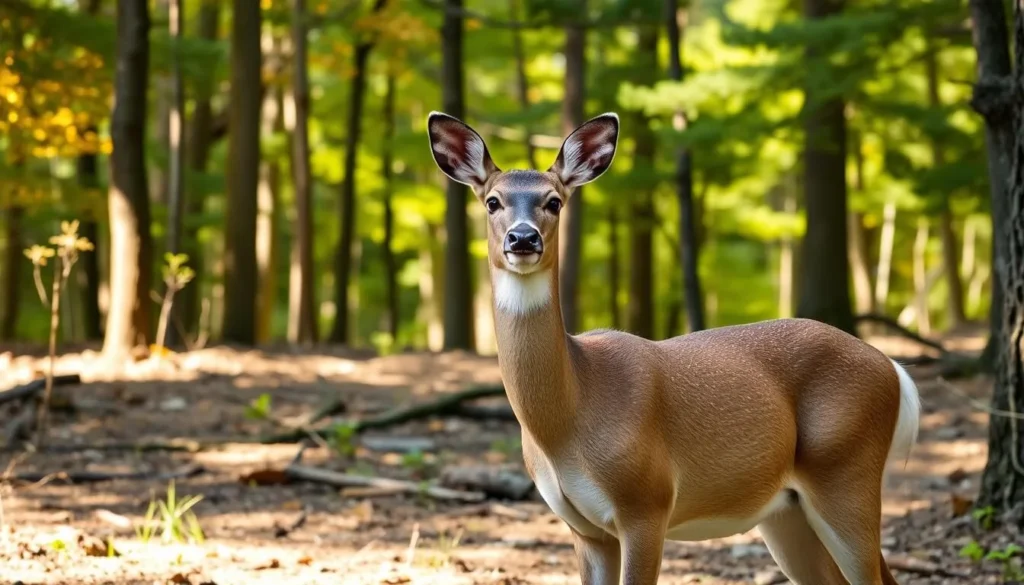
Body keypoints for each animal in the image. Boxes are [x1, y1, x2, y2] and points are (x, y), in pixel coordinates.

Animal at [426, 110, 920, 585]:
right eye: (492, 201)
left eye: (554, 201)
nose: (524, 238)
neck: (570, 417)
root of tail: (895, 369)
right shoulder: (584, 528)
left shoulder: (648, 501)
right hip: (788, 510)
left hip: (846, 469)